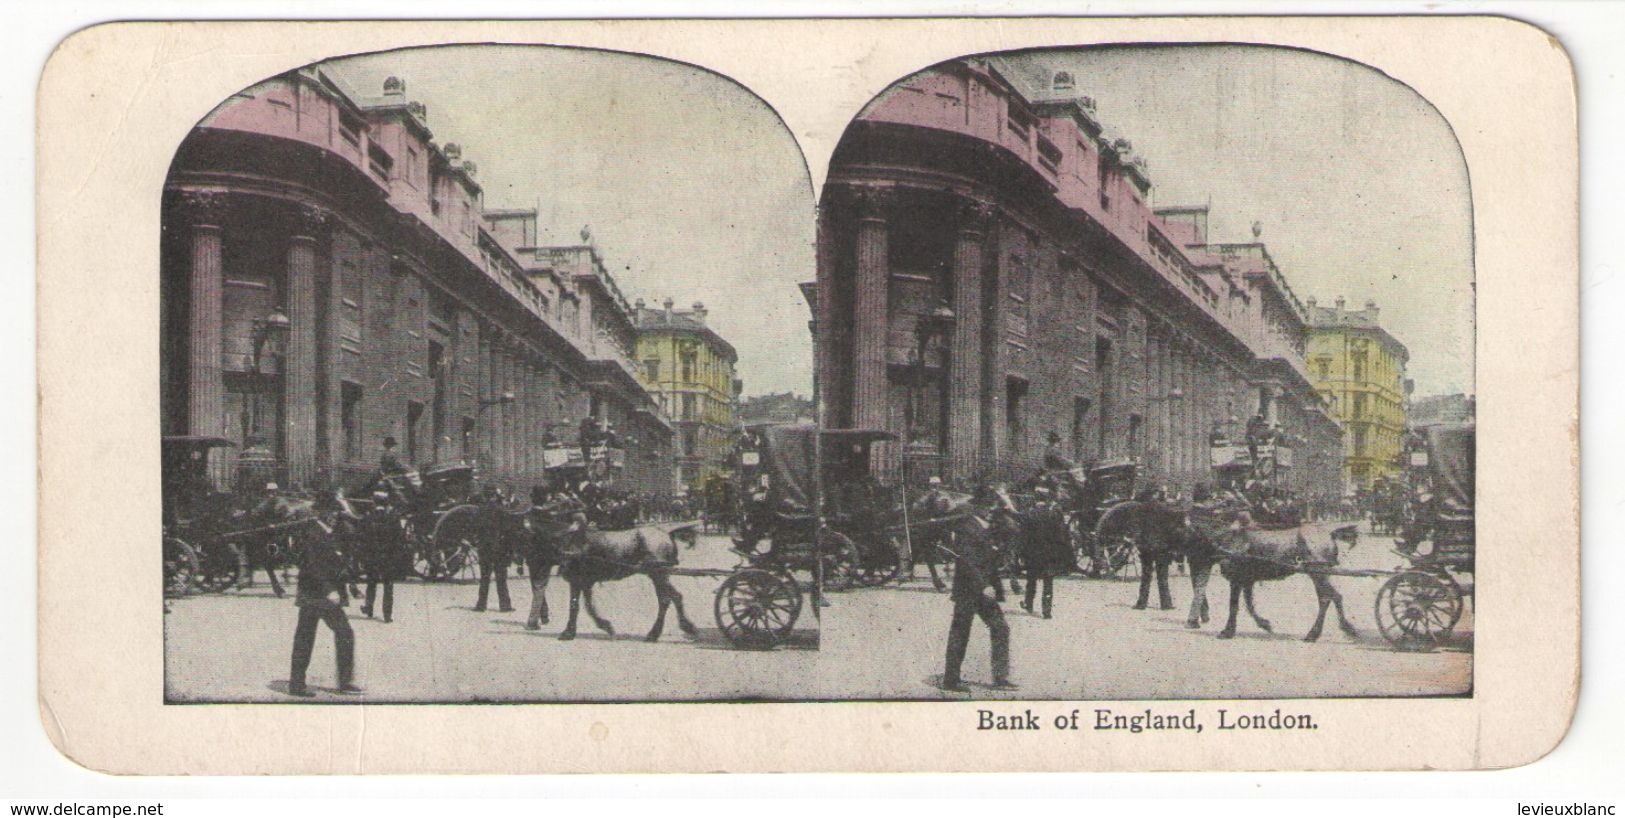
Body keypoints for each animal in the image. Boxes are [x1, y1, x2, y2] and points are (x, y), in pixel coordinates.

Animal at [555, 520, 702, 643]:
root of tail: (667, 533)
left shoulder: (576, 580)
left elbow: (575, 606)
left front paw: (568, 633)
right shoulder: (585, 582)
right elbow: (588, 607)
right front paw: (605, 625)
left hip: (658, 574)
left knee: (671, 598)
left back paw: (675, 630)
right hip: (658, 575)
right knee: (668, 599)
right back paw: (662, 632)